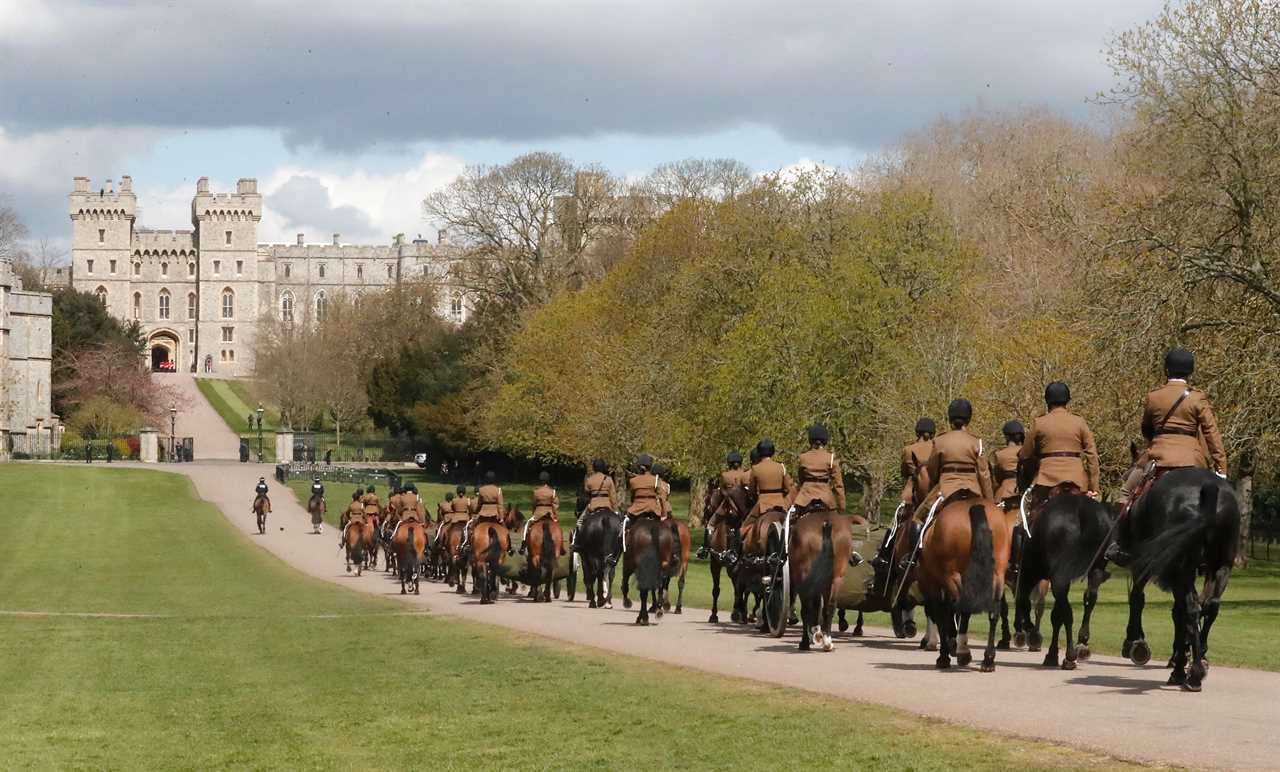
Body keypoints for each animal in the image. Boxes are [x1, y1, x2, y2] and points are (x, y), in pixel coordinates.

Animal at [916, 501, 1013, 670]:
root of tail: (975, 505)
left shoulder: (933, 585)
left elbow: (942, 616)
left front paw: (945, 655)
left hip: (952, 577)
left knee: (960, 609)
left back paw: (962, 652)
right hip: (997, 576)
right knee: (993, 613)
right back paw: (988, 659)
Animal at [1008, 489, 1111, 670]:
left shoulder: (1029, 573)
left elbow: (1025, 601)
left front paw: (1032, 634)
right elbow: (1056, 615)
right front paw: (1051, 653)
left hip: (1056, 578)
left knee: (1067, 613)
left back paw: (1070, 655)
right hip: (1095, 570)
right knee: (1089, 599)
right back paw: (1082, 644)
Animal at [1126, 468, 1233, 691]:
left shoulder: (1145, 567)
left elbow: (1138, 599)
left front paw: (1135, 643)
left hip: (1180, 570)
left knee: (1191, 611)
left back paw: (1191, 674)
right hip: (1221, 566)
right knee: (1210, 606)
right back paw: (1199, 661)